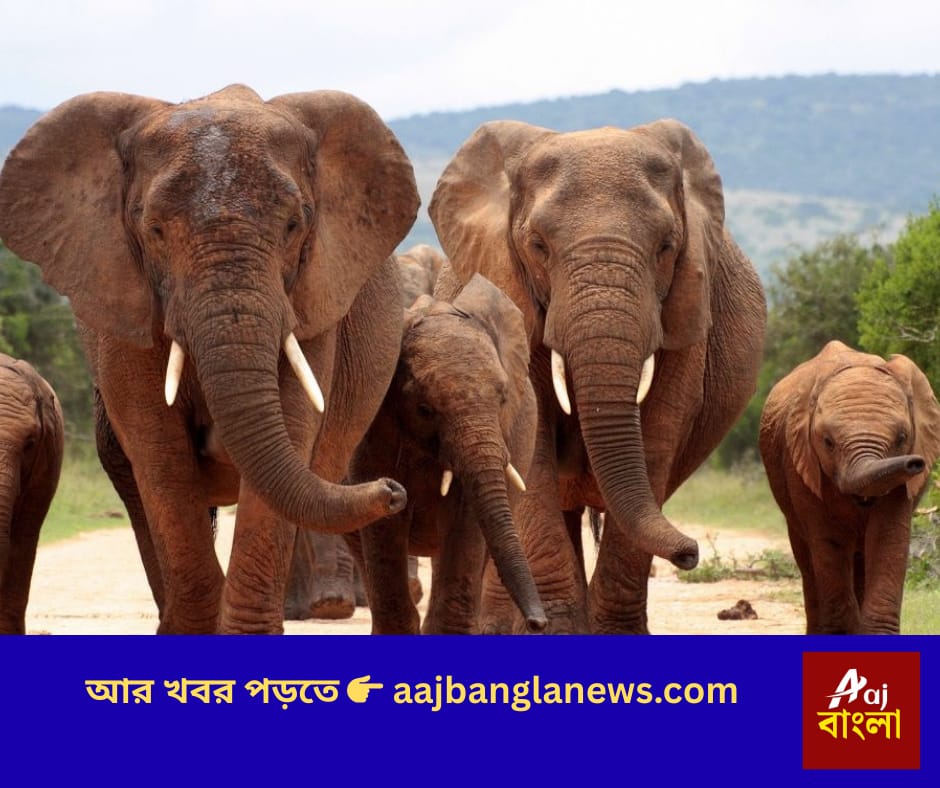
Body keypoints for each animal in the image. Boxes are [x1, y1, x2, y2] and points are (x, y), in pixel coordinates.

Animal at [0, 84, 419, 633]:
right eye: (154, 230)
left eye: (294, 225)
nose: (393, 491)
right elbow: (159, 449)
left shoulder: (312, 298)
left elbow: (291, 425)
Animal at [350, 270, 546, 634]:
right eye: (425, 409)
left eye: (503, 399)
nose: (538, 622)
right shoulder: (372, 430)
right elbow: (384, 521)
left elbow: (465, 519)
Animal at [429, 118, 766, 633]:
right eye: (538, 246)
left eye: (666, 247)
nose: (690, 553)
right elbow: (533, 448)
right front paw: (557, 631)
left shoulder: (687, 312)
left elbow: (658, 435)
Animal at [759, 340, 940, 634]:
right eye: (828, 442)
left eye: (902, 438)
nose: (915, 463)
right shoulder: (801, 464)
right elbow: (828, 541)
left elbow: (888, 537)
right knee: (808, 558)